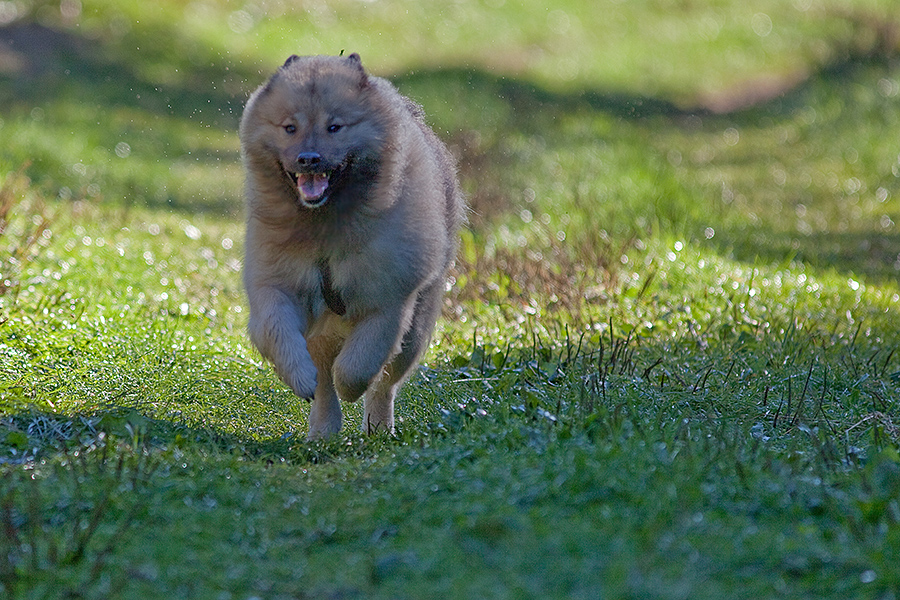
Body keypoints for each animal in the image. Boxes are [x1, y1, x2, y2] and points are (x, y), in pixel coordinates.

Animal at [239, 54, 464, 438]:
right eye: (289, 128)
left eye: (334, 127)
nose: (309, 158)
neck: (325, 227)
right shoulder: (276, 286)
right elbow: (278, 333)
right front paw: (300, 377)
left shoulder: (388, 302)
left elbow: (359, 364)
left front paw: (351, 388)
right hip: (321, 334)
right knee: (324, 386)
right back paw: (322, 431)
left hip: (414, 332)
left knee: (386, 383)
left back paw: (379, 428)